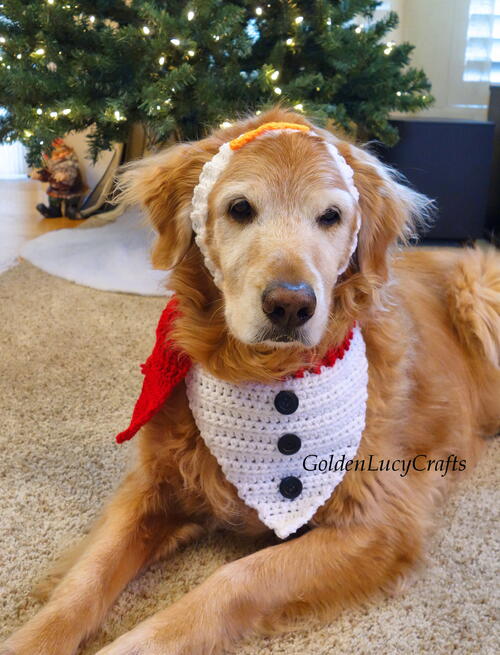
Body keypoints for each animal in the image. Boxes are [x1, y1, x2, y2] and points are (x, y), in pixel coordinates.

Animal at [1, 109, 498, 655]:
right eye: (240, 208)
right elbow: (84, 580)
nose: (291, 305)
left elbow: (233, 580)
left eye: (331, 216)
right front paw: (34, 638)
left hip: (479, 290)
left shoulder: (381, 523)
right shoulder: (153, 486)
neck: (263, 373)